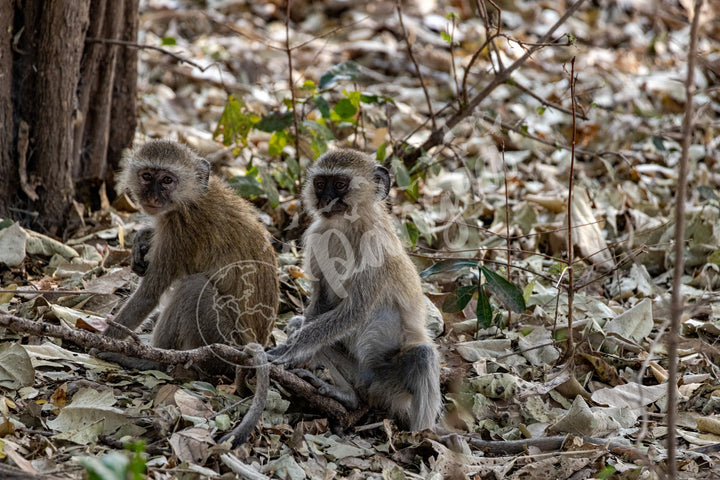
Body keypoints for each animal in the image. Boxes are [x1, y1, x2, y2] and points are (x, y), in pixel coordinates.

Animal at [105, 139, 280, 446]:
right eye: (147, 176)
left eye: (167, 180)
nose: (152, 196)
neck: (192, 197)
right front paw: (143, 238)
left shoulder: (180, 231)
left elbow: (149, 295)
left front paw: (99, 343)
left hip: (220, 341)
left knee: (193, 287)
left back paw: (148, 359)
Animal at [268, 149, 442, 432]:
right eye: (320, 184)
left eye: (340, 184)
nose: (325, 199)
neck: (347, 226)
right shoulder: (317, 235)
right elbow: (321, 304)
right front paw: (295, 355)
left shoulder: (376, 246)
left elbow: (356, 311)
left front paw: (286, 351)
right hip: (358, 374)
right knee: (301, 325)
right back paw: (346, 395)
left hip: (392, 384)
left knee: (422, 355)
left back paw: (423, 434)